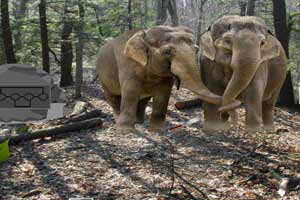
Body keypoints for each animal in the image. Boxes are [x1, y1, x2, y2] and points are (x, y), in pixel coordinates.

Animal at [96, 25, 239, 132]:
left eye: (196, 49)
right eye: (168, 51)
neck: (145, 32)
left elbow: (163, 93)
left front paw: (156, 129)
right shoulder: (127, 64)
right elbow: (131, 91)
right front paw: (126, 131)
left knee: (143, 99)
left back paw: (139, 121)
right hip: (103, 77)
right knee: (113, 97)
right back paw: (120, 120)